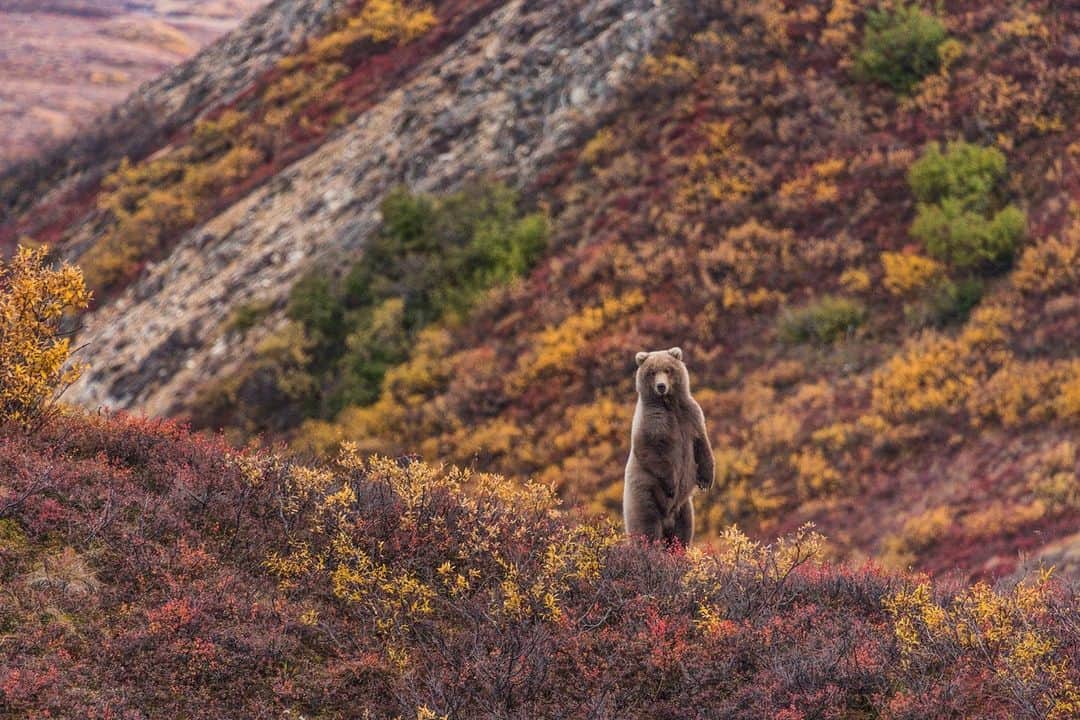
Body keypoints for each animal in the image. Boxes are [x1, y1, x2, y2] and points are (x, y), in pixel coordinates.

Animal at [623, 347, 715, 547]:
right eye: (652, 372)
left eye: (667, 369)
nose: (661, 386)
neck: (671, 406)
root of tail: (667, 520)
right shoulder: (652, 422)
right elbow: (650, 451)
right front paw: (672, 484)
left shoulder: (691, 415)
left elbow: (702, 443)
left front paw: (706, 480)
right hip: (644, 496)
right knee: (646, 528)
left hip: (684, 508)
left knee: (684, 531)